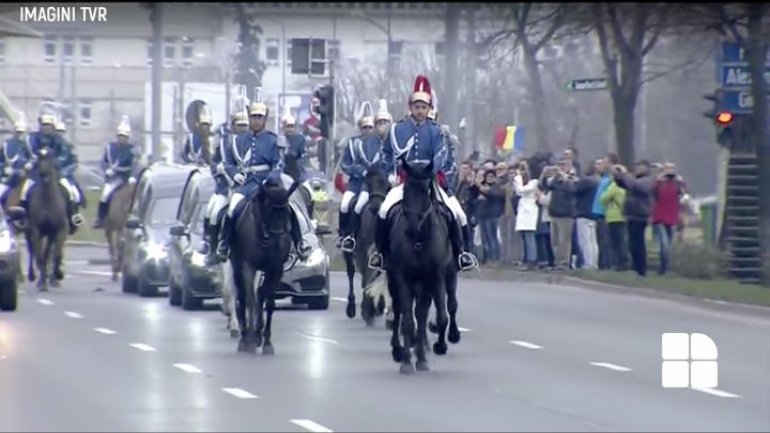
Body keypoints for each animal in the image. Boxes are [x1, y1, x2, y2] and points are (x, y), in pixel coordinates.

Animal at [226, 176, 298, 354]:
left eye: (287, 213)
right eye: (270, 211)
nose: (277, 244)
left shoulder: (276, 269)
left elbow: (269, 302)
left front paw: (266, 342)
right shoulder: (247, 266)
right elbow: (250, 299)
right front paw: (249, 340)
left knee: (259, 294)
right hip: (236, 266)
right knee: (243, 296)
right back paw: (245, 335)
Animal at [342, 165, 390, 324]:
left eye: (387, 185)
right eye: (369, 184)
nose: (376, 206)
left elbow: (375, 277)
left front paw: (377, 307)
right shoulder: (363, 253)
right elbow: (365, 280)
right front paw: (367, 309)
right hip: (349, 253)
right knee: (351, 273)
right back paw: (351, 307)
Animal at [382, 162, 452, 374]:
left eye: (425, 190)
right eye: (405, 189)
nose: (412, 228)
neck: (420, 240)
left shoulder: (436, 278)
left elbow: (440, 317)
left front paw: (437, 348)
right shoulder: (402, 278)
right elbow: (406, 320)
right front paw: (406, 361)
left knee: (420, 313)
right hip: (394, 280)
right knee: (399, 311)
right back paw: (398, 350)